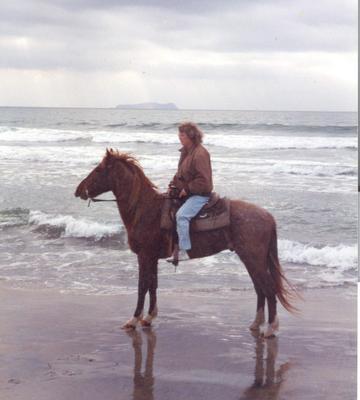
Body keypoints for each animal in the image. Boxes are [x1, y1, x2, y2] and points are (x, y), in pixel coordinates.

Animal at [74, 148, 296, 336]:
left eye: (99, 169)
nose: (79, 190)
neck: (145, 210)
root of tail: (268, 216)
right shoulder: (152, 258)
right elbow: (153, 285)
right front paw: (149, 317)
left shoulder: (144, 256)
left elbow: (142, 286)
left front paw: (134, 319)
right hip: (250, 260)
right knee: (260, 289)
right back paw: (256, 324)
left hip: (253, 259)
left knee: (268, 289)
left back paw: (270, 328)